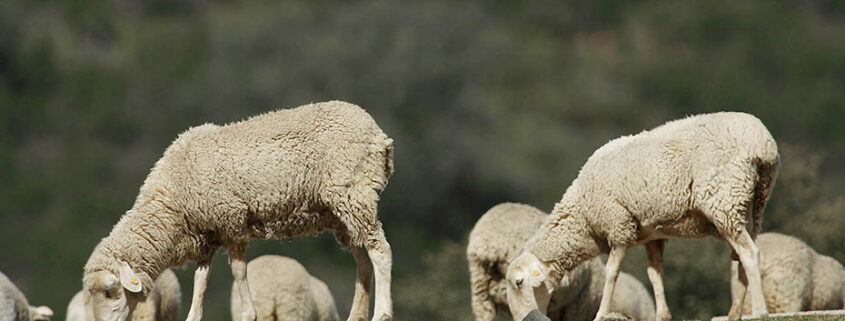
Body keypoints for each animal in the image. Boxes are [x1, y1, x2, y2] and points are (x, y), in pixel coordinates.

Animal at [80, 100, 396, 321]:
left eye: (110, 291)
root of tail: (379, 135)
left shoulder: (230, 222)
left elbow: (239, 272)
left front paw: (248, 313)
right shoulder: (207, 236)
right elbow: (200, 282)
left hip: (355, 193)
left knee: (380, 251)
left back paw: (382, 313)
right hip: (342, 213)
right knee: (363, 261)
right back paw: (357, 315)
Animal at [502, 112, 780, 320]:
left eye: (518, 283)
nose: (523, 318)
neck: (583, 215)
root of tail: (763, 143)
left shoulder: (618, 225)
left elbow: (612, 272)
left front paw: (602, 313)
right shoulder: (652, 236)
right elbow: (654, 274)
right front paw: (662, 315)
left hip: (725, 199)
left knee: (750, 254)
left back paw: (760, 312)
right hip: (752, 205)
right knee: (742, 256)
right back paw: (734, 314)